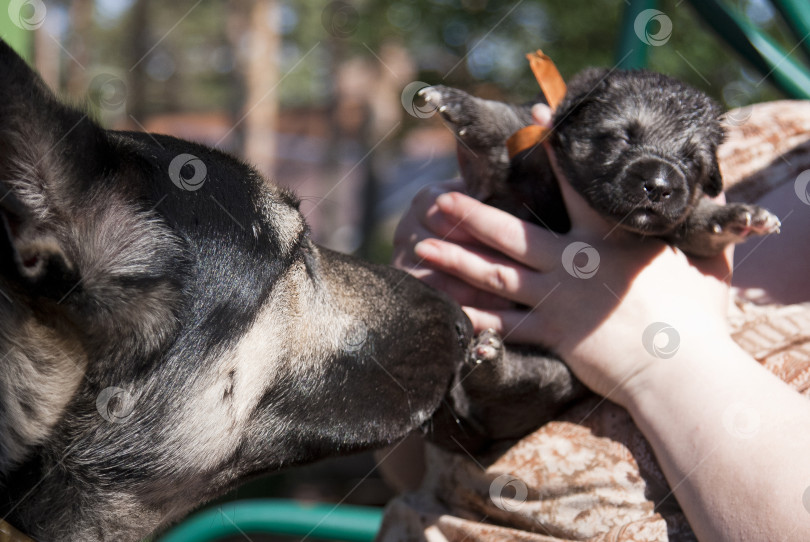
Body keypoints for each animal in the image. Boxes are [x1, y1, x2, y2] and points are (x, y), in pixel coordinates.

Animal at [416, 69, 776, 454]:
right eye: (623, 137)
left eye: (693, 160)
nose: (659, 185)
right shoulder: (519, 171)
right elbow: (510, 126)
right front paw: (461, 104)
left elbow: (693, 223)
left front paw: (732, 217)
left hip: (556, 380)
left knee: (515, 384)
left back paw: (491, 361)